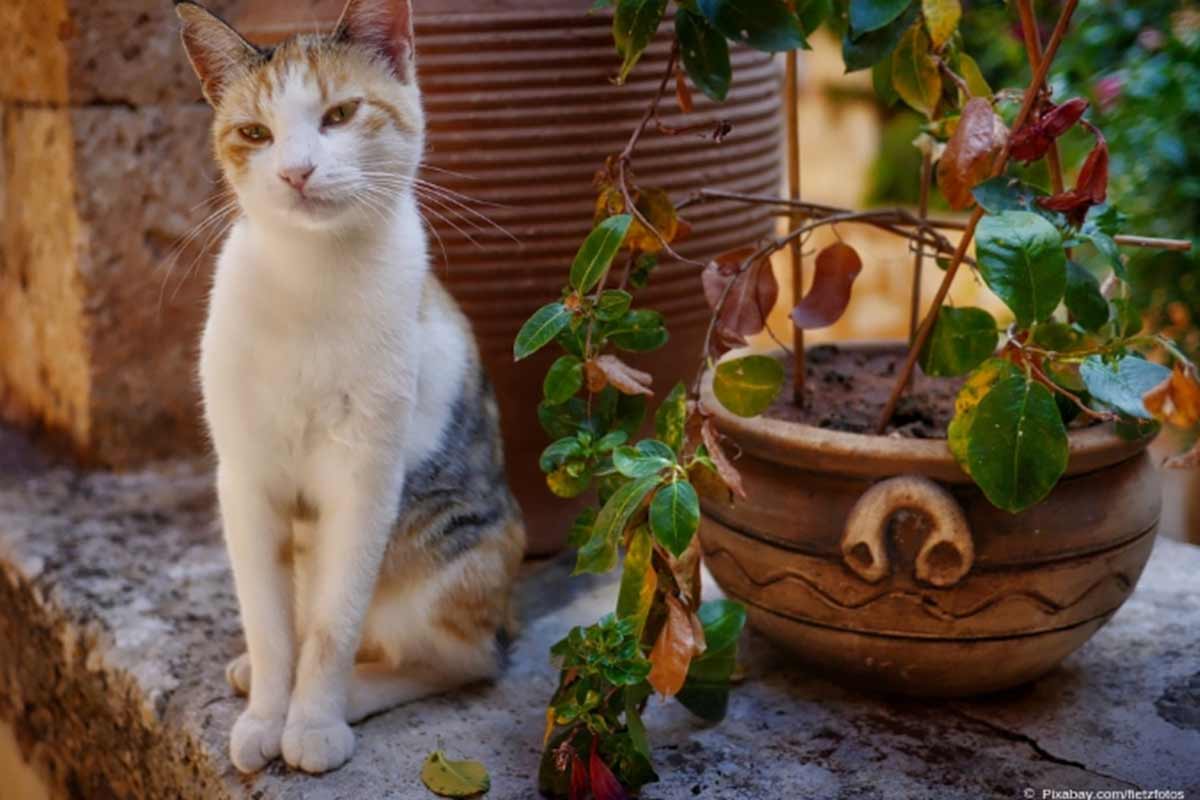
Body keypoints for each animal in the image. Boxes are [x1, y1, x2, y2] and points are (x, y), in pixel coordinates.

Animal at [175, 0, 525, 777]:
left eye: (339, 114)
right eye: (255, 133)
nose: (297, 171)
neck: (310, 277)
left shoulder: (365, 477)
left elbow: (333, 628)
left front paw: (311, 722)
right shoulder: (244, 479)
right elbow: (272, 623)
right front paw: (265, 713)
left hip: (449, 550)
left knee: (465, 659)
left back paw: (362, 689)